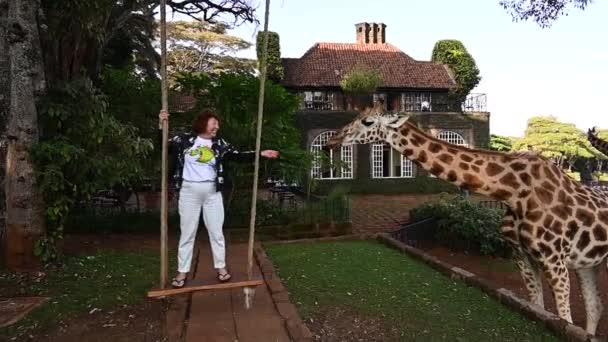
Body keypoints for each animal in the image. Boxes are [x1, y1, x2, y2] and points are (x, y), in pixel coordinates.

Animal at [330, 106, 608, 334]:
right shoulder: (522, 255)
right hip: (588, 263)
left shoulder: (554, 259)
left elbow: (565, 319)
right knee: (595, 306)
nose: (332, 140)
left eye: (367, 121)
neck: (512, 190)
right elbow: (540, 309)